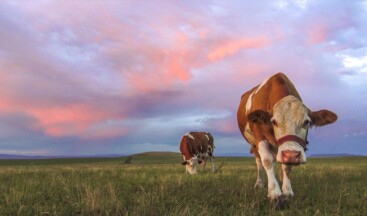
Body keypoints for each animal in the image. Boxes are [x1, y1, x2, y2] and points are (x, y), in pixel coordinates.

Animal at [237, 72, 338, 202]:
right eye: (274, 122)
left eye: (306, 122)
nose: (291, 155)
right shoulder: (260, 137)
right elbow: (267, 160)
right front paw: (274, 192)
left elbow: (286, 167)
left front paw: (287, 190)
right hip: (253, 144)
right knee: (259, 160)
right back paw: (259, 183)